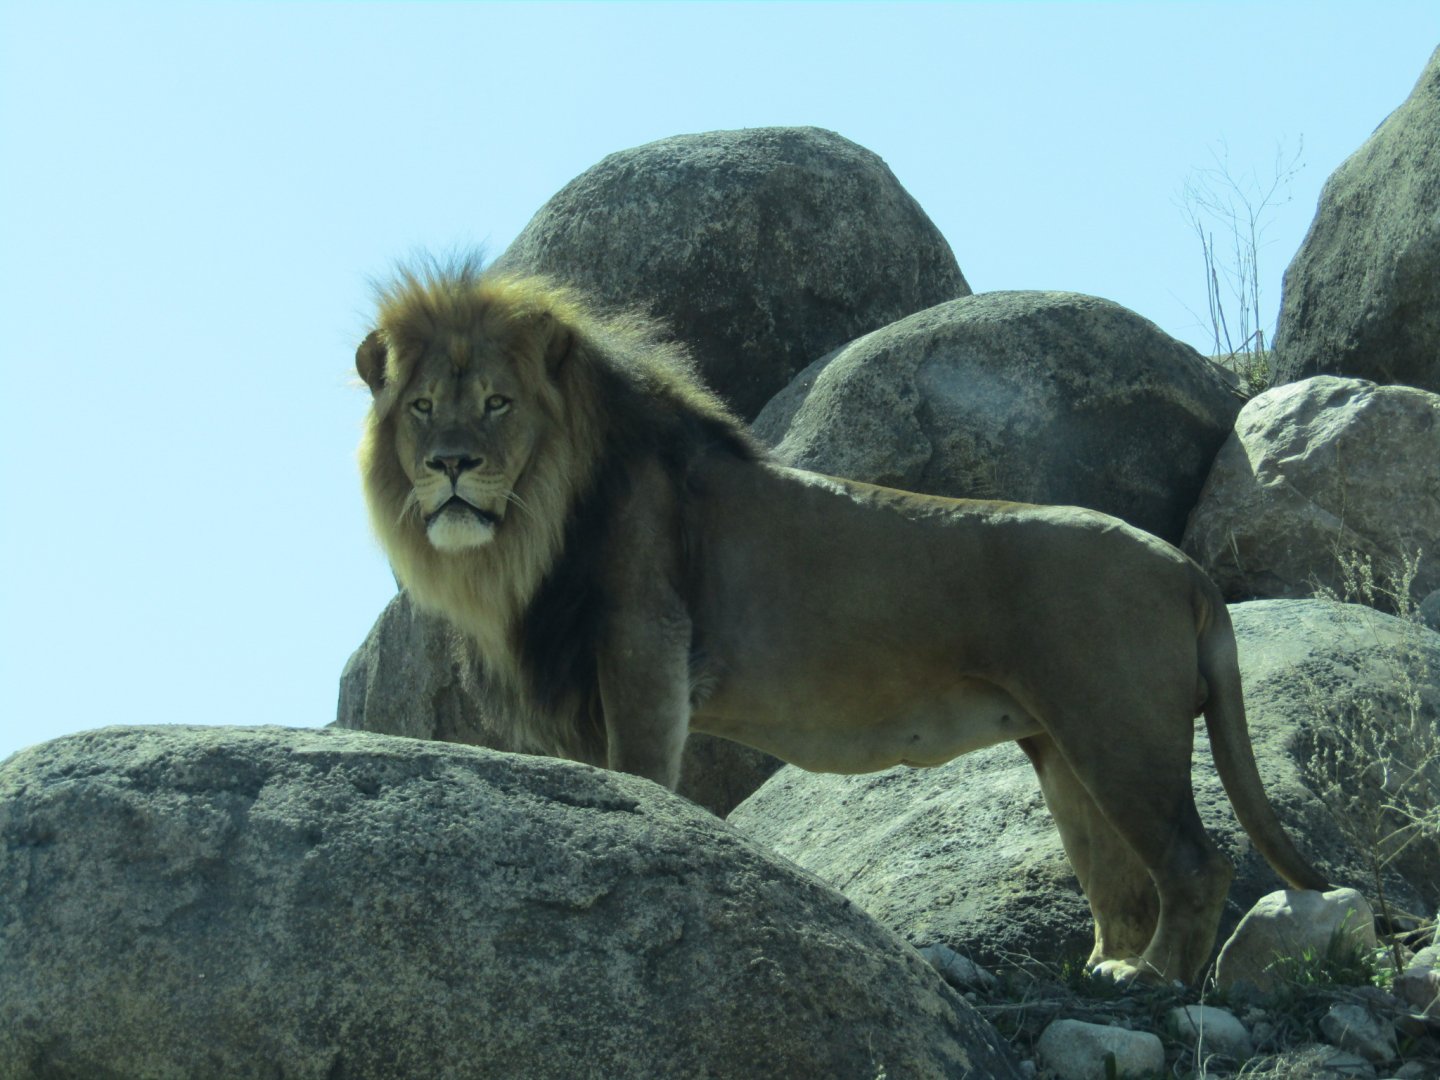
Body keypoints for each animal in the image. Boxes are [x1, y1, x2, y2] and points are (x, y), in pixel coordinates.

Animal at [356, 258, 1328, 985]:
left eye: (497, 403)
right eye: (421, 407)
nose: (449, 465)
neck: (528, 531)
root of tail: (1184, 569)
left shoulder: (644, 655)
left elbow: (643, 783)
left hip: (1118, 732)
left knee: (1197, 865)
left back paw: (1155, 981)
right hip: (1062, 747)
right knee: (1118, 884)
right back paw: (1107, 972)